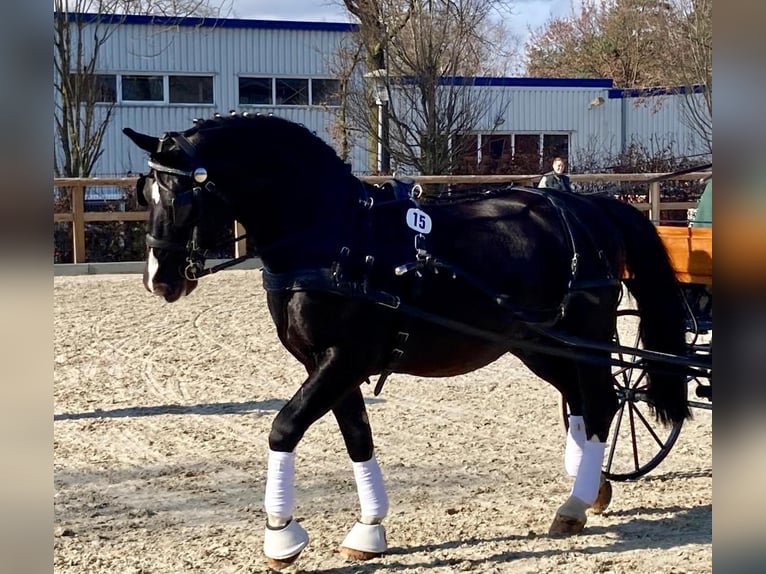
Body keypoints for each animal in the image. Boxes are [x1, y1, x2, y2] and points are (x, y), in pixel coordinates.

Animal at [124, 115, 688, 568]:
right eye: (145, 192)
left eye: (183, 195)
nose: (158, 279)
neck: (336, 238)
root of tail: (584, 204)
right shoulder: (326, 365)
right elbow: (358, 438)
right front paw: (369, 530)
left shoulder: (343, 360)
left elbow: (283, 428)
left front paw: (280, 536)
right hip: (537, 343)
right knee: (584, 401)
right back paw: (591, 490)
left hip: (584, 338)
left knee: (601, 401)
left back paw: (575, 502)